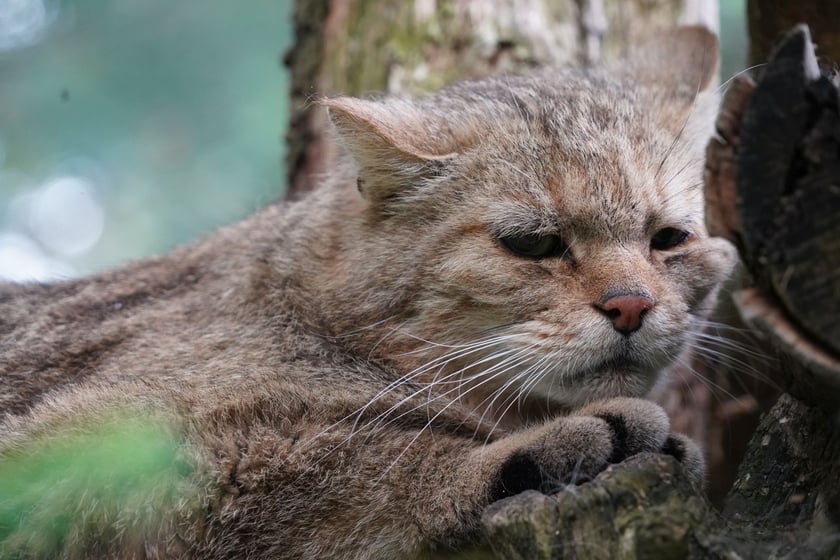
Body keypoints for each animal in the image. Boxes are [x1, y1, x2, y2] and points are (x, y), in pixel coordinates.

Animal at [0, 25, 736, 560]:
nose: (632, 304)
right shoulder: (106, 443)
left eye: (669, 239)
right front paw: (541, 448)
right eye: (532, 244)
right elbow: (372, 464)